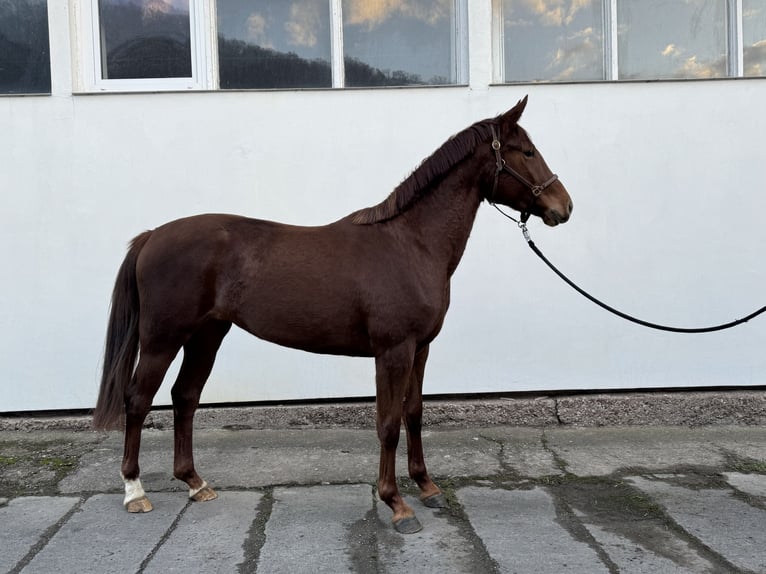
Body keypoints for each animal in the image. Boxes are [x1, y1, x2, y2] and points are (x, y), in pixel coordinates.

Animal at [93, 98, 572, 536]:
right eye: (527, 152)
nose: (563, 207)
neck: (411, 243)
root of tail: (153, 235)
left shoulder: (420, 349)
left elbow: (414, 414)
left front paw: (427, 487)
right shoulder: (393, 351)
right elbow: (388, 424)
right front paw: (397, 505)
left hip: (207, 335)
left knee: (185, 396)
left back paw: (195, 483)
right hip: (162, 339)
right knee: (138, 400)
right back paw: (135, 492)